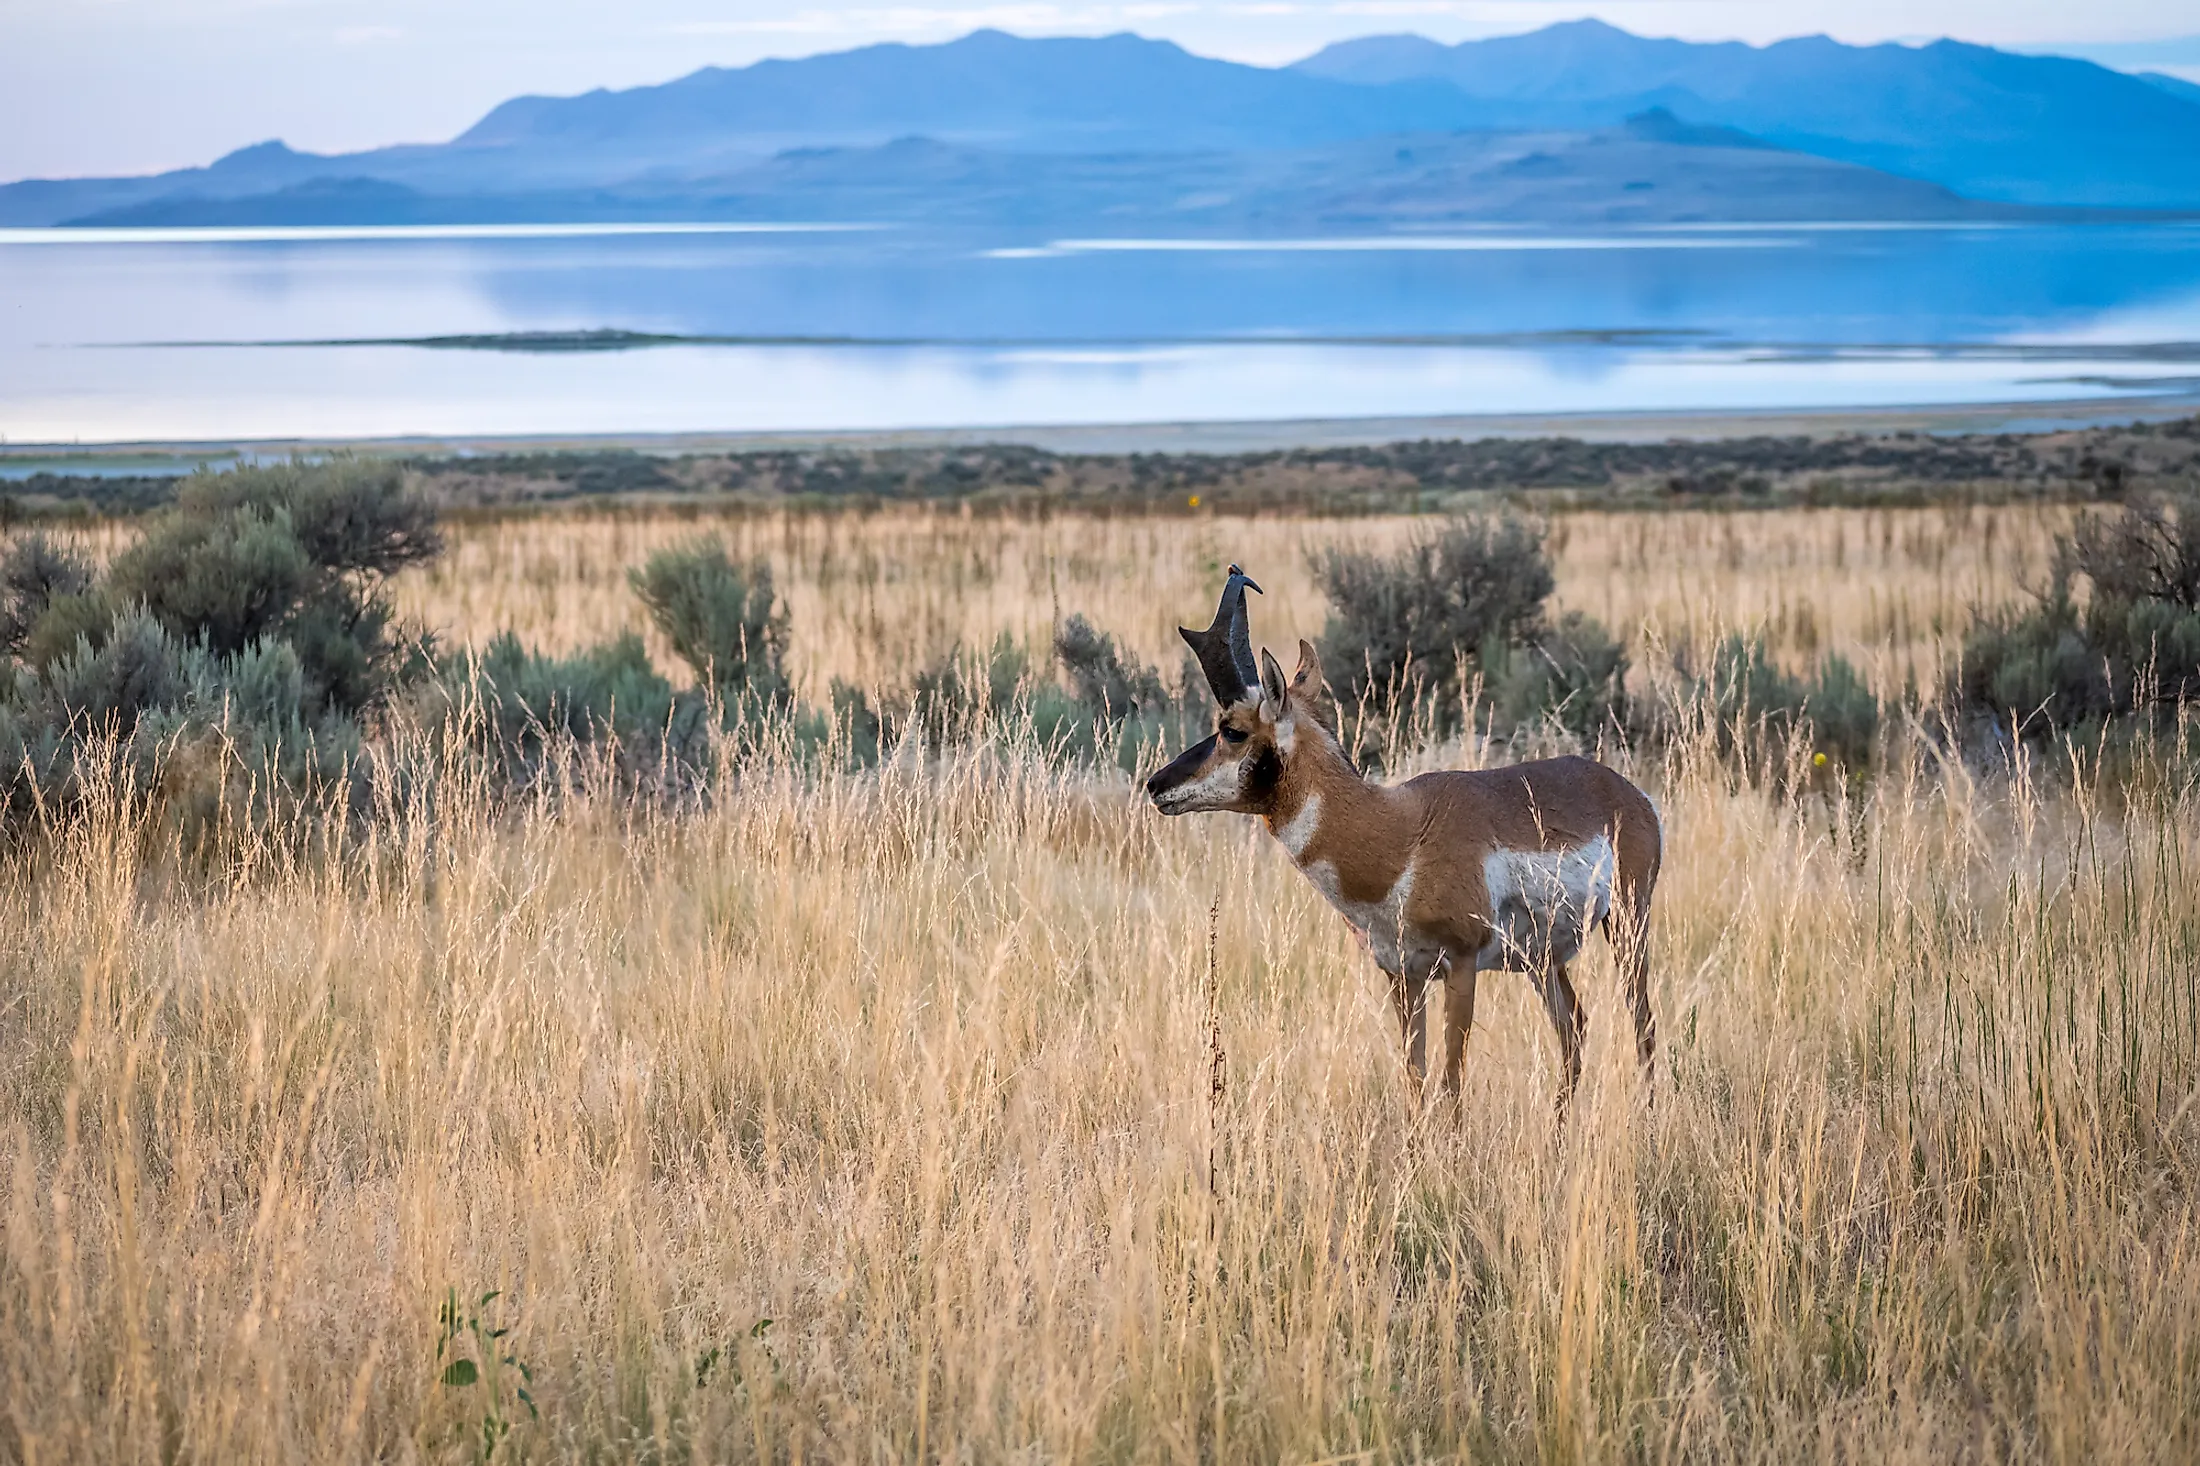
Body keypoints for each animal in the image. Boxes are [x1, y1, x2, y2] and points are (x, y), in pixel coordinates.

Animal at [1144, 561, 1654, 1109]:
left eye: (1232, 729)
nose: (1155, 785)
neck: (1398, 834)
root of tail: (1626, 792)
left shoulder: (1461, 966)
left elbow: (1450, 1086)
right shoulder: (1402, 977)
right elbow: (1415, 1081)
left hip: (1628, 927)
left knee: (1642, 1024)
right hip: (1543, 960)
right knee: (1574, 1027)